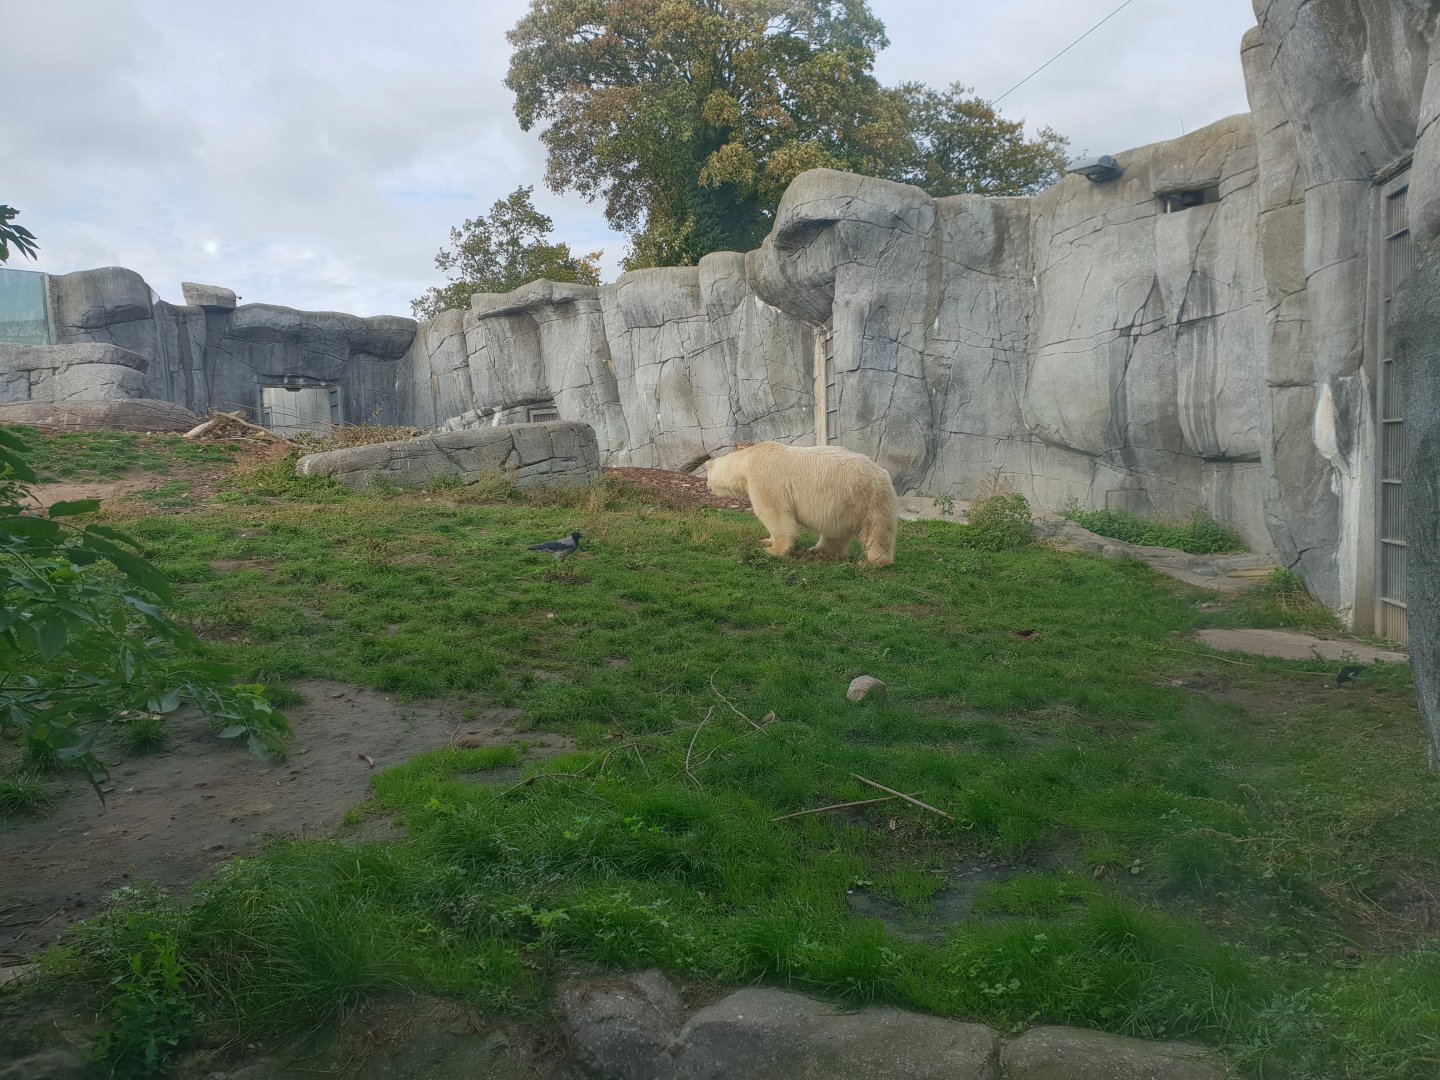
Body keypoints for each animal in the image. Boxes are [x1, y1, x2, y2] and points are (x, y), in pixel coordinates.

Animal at [705, 441, 898, 566]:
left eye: (707, 476)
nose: (707, 487)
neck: (748, 459)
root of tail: (883, 474)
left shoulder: (764, 479)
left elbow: (774, 513)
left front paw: (775, 550)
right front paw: (765, 540)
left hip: (868, 499)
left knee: (876, 531)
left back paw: (873, 561)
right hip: (844, 506)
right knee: (835, 533)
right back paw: (818, 550)